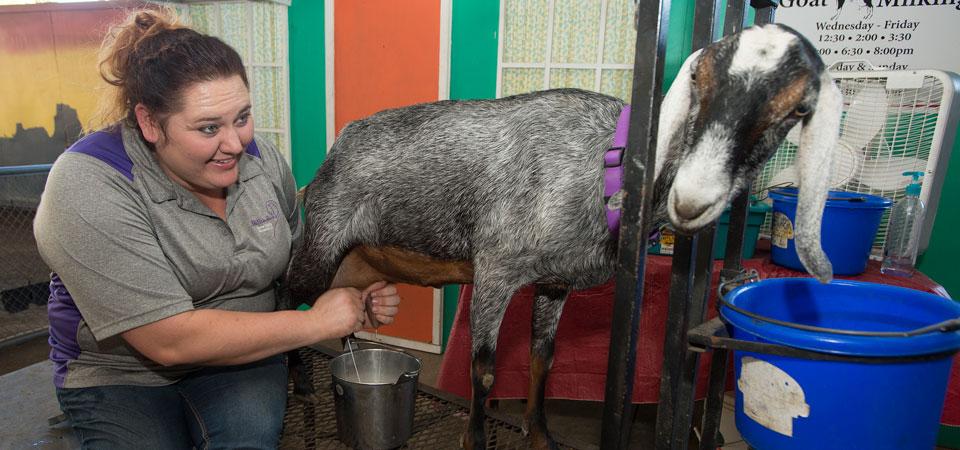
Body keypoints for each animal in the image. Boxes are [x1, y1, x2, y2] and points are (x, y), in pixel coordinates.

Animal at [284, 25, 840, 450]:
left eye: (797, 109)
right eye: (699, 77)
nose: (693, 198)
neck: (603, 167)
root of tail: (331, 155)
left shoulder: (555, 283)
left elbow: (542, 361)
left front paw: (540, 436)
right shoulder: (496, 270)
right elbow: (484, 370)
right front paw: (474, 439)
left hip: (358, 263)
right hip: (322, 241)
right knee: (290, 296)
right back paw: (300, 384)